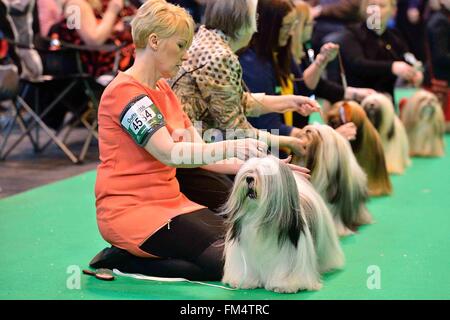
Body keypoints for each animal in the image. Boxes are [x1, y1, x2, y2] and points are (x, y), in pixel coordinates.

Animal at [221, 156, 344, 294]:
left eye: (264, 174)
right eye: (248, 171)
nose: (248, 178)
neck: (258, 216)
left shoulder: (288, 256)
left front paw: (283, 286)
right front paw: (245, 282)